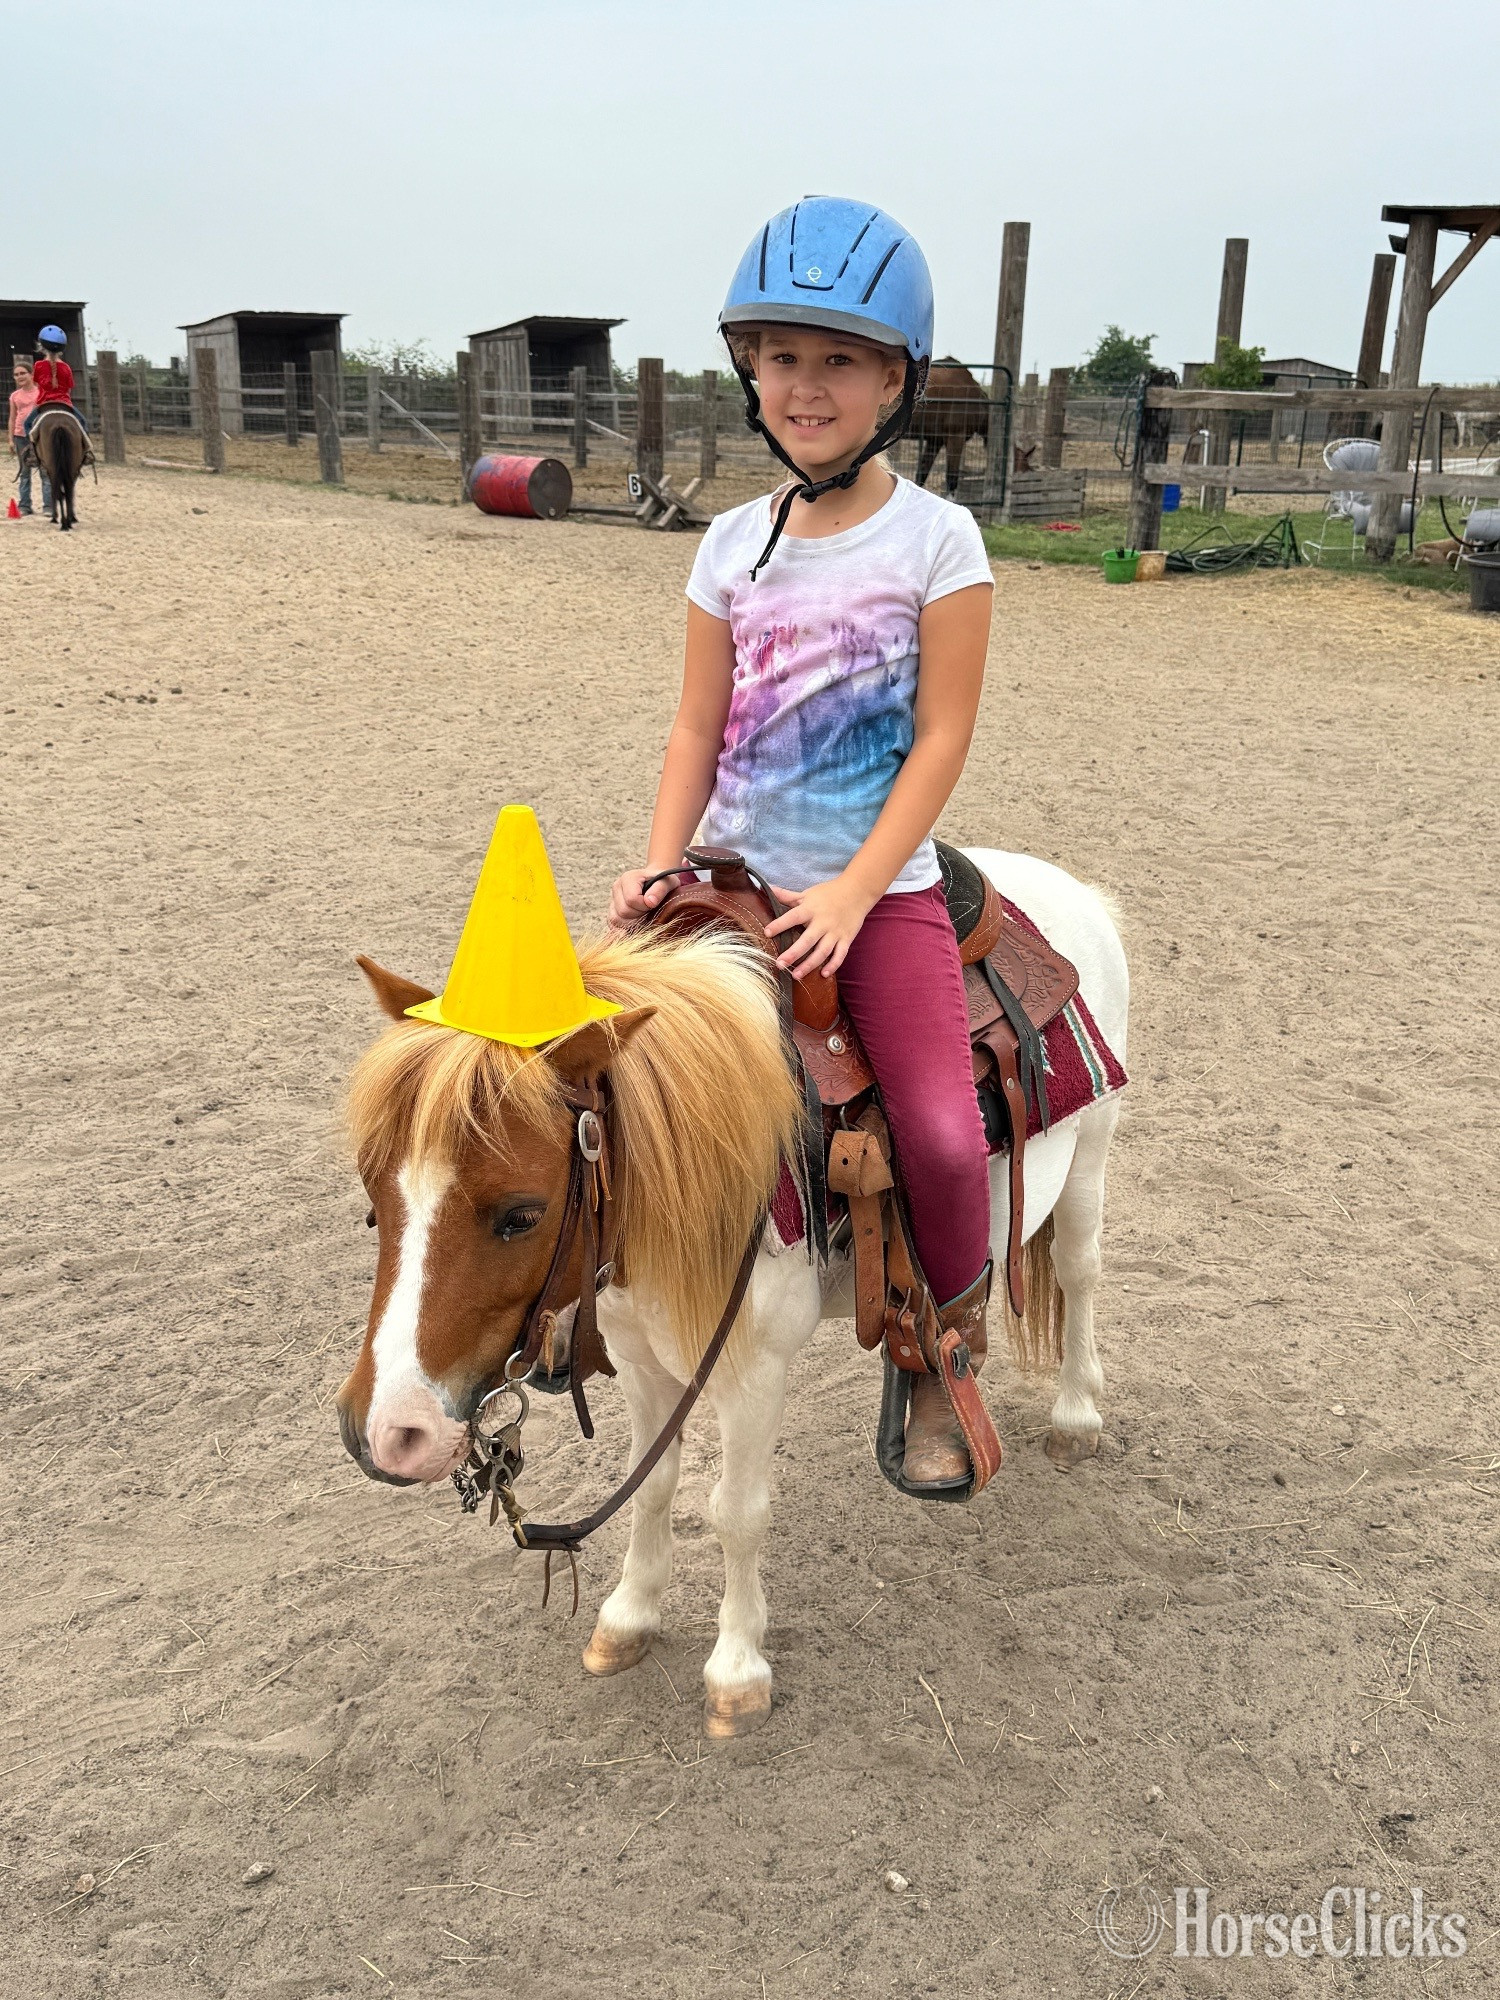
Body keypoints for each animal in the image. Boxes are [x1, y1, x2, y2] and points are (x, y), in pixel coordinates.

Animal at [336, 849, 1128, 1738]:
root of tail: (1062, 884)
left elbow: (736, 1511)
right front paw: (628, 1618)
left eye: (520, 1214)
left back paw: (1073, 1417)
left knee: (1079, 1273)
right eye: (374, 1196)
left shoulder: (751, 1374)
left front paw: (738, 1670)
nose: (387, 1431)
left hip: (1091, 1156)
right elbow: (653, 1483)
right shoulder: (642, 1357)